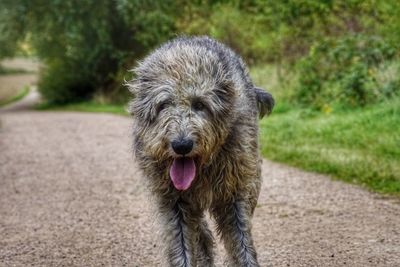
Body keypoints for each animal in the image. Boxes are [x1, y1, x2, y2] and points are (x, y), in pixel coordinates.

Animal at [128, 36, 272, 267]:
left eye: (200, 104)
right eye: (163, 104)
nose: (181, 145)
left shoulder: (234, 192)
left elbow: (240, 241)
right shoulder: (173, 202)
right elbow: (181, 243)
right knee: (200, 231)